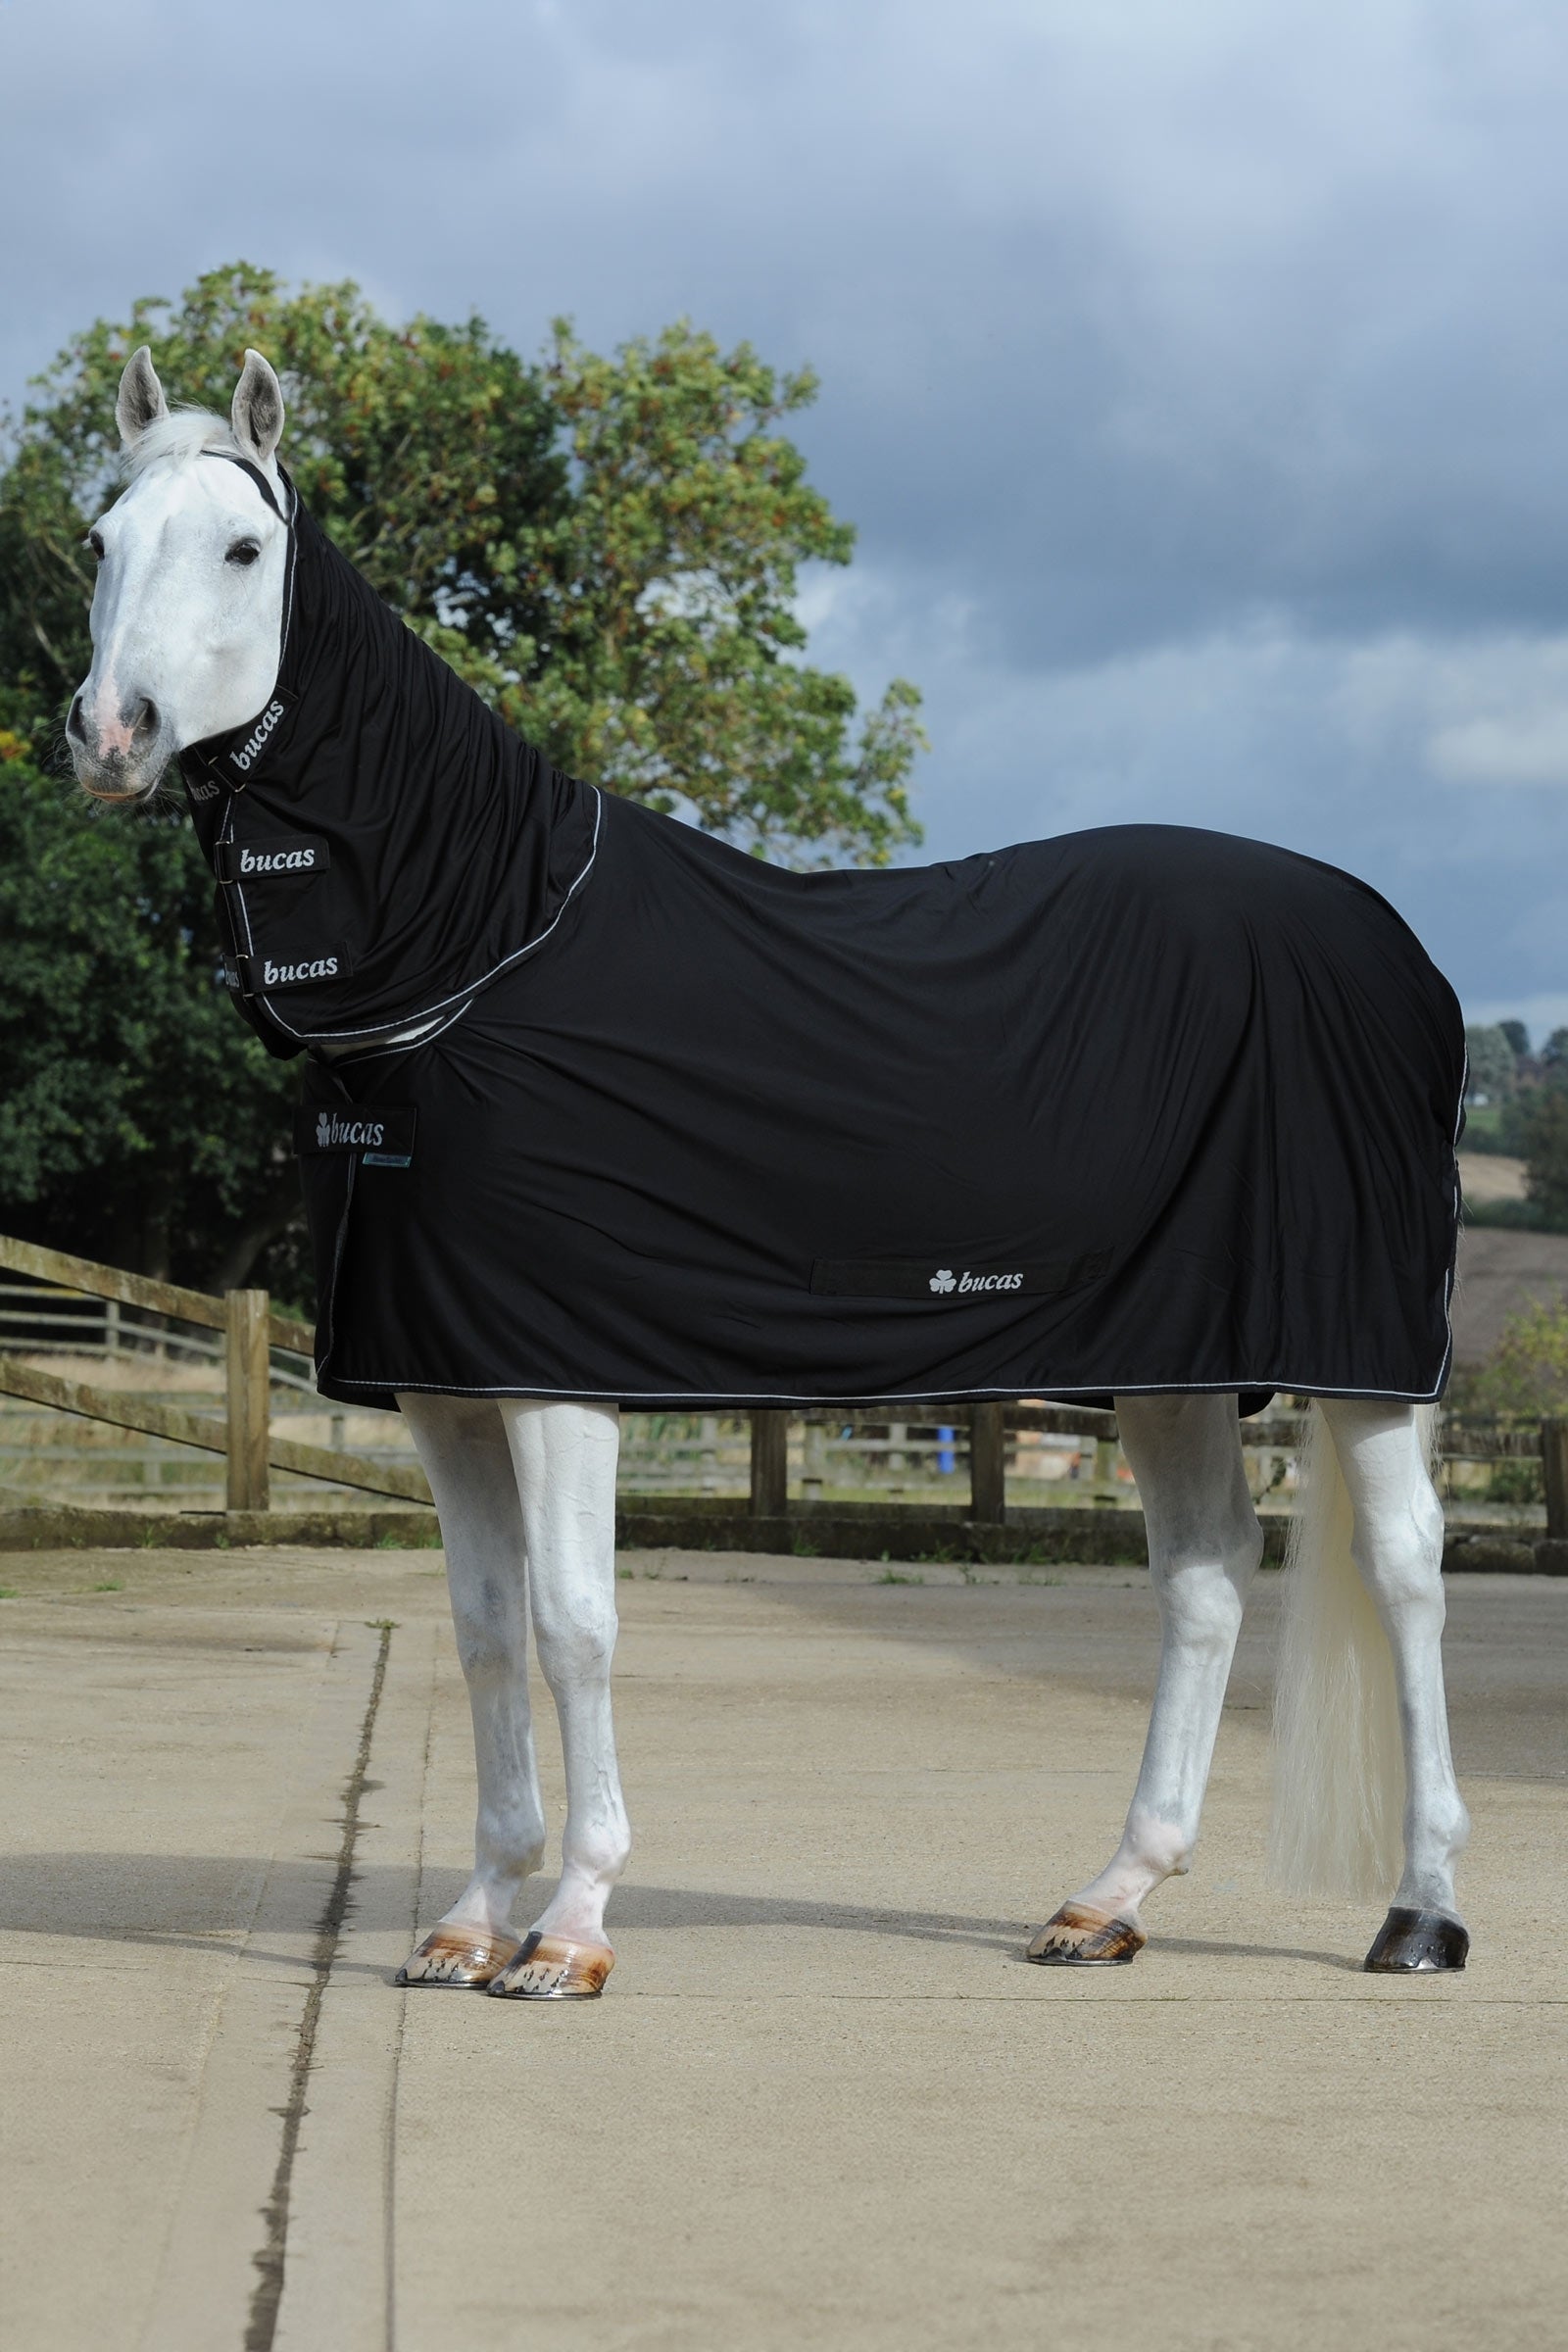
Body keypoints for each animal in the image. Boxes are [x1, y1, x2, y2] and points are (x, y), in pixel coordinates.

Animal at [65, 345, 1471, 1997]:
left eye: (243, 548)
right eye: (100, 542)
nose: (110, 732)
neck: (484, 949)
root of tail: (1397, 951)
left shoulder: (554, 1379)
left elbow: (574, 1625)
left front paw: (572, 1930)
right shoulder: (443, 1385)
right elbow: (482, 1627)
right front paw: (472, 1919)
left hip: (1362, 1356)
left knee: (1407, 1571)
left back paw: (1421, 1913)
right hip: (1173, 1360)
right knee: (1202, 1575)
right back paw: (1108, 1901)